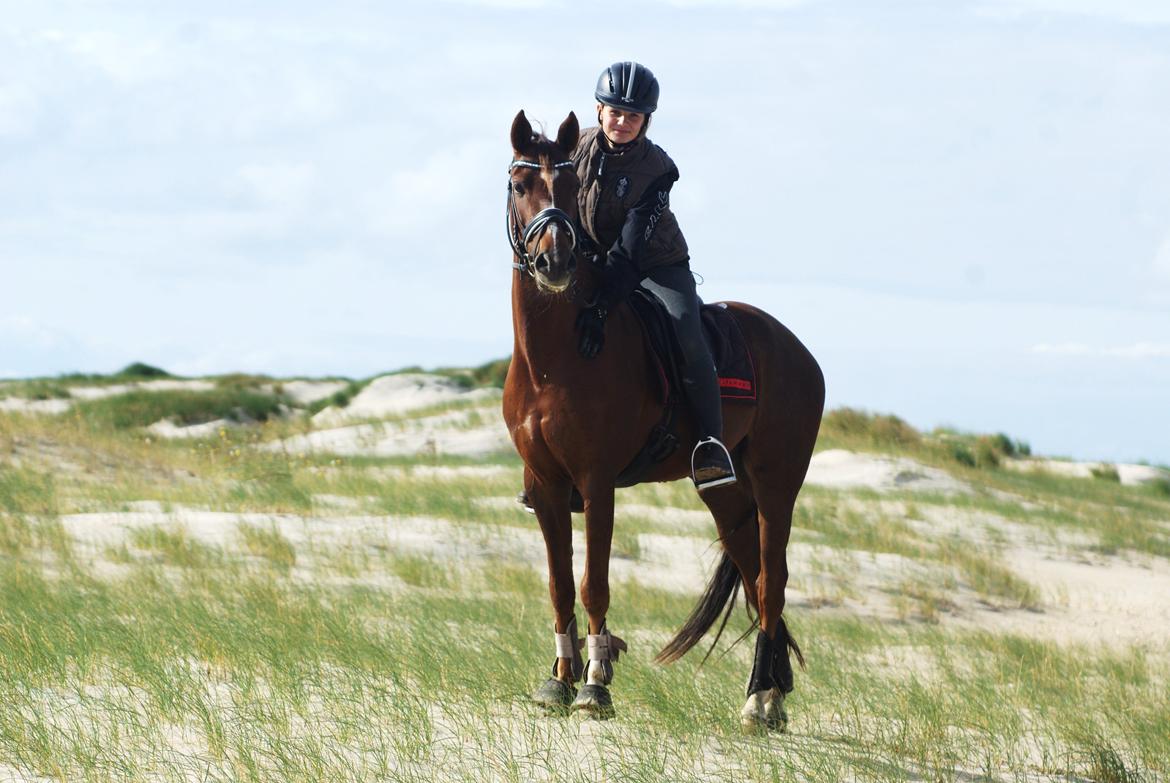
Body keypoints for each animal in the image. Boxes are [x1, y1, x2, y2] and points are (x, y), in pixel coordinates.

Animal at [500, 108, 823, 725]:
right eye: (520, 184)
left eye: (569, 190)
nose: (555, 261)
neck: (556, 358)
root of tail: (799, 351)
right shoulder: (547, 486)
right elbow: (558, 586)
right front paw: (559, 679)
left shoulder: (596, 484)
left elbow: (593, 583)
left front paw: (594, 685)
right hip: (726, 495)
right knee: (754, 576)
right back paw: (772, 688)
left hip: (776, 487)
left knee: (772, 582)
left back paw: (759, 699)